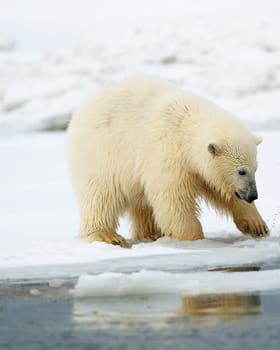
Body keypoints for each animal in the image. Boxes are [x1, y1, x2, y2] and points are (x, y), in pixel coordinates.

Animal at [66, 76, 268, 246]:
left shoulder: (197, 167)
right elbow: (174, 198)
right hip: (102, 156)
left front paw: (257, 225)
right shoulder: (168, 153)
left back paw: (152, 233)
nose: (253, 195)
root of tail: (79, 113)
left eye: (255, 169)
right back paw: (107, 236)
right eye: (241, 171)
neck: (184, 126)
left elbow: (221, 190)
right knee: (101, 197)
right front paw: (194, 239)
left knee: (142, 203)